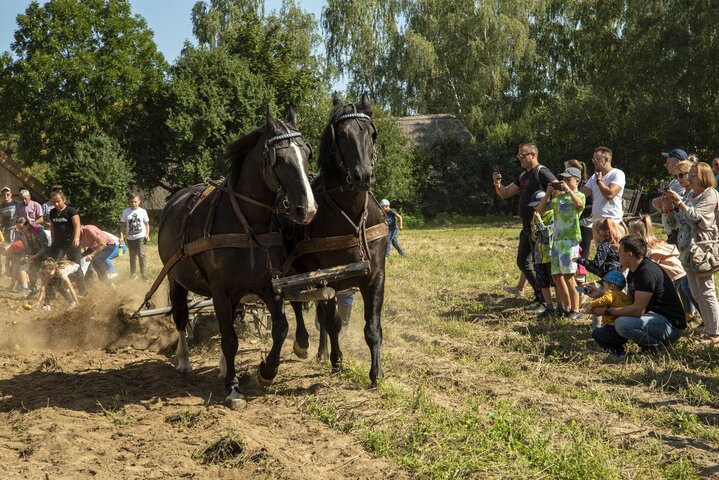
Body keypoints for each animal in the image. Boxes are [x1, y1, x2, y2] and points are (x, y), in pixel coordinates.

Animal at [159, 107, 316, 406]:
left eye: (306, 153)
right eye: (279, 159)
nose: (308, 209)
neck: (246, 224)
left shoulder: (269, 284)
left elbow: (280, 327)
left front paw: (267, 370)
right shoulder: (219, 289)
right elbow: (230, 339)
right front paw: (233, 388)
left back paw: (222, 366)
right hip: (177, 281)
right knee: (181, 317)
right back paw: (184, 360)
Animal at [286, 94, 388, 386]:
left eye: (371, 133)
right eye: (341, 135)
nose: (363, 176)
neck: (350, 215)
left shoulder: (375, 275)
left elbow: (372, 327)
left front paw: (376, 373)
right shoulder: (325, 277)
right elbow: (331, 322)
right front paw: (337, 360)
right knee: (299, 306)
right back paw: (304, 345)